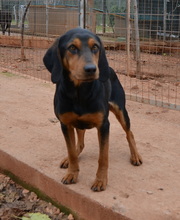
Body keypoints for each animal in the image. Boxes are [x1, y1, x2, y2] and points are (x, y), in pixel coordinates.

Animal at [43, 27, 142, 192]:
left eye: (95, 47)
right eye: (72, 48)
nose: (91, 69)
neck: (79, 93)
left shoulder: (104, 125)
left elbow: (103, 157)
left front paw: (100, 181)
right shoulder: (65, 124)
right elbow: (71, 151)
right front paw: (72, 173)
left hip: (121, 110)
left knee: (130, 133)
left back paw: (135, 156)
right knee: (79, 144)